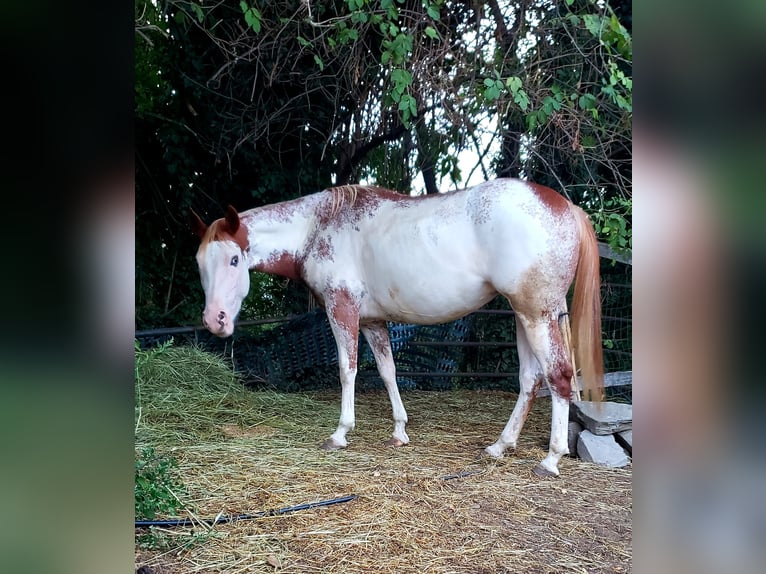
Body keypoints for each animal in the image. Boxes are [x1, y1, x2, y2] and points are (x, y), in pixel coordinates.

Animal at [192, 178, 608, 480]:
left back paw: (550, 460)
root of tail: (565, 205)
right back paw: (499, 447)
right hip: (523, 316)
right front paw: (399, 432)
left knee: (559, 377)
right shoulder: (373, 321)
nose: (215, 320)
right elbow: (388, 371)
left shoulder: (342, 310)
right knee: (529, 379)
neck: (318, 227)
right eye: (200, 263)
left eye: (233, 260)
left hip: (538, 314)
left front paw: (340, 433)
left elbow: (347, 370)